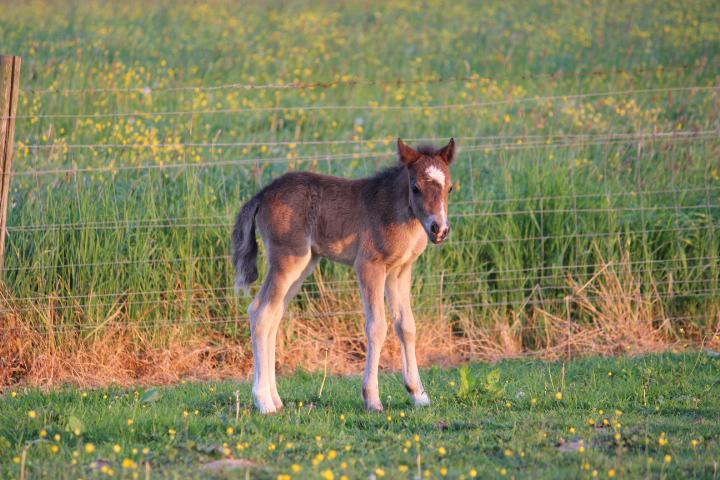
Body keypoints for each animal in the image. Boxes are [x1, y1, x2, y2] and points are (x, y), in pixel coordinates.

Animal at [232, 138, 456, 413]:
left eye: (450, 188)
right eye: (415, 187)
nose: (439, 229)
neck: (394, 210)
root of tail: (262, 194)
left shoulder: (399, 271)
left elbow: (407, 326)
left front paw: (418, 395)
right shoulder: (369, 265)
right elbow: (377, 327)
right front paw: (372, 398)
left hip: (304, 264)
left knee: (274, 315)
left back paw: (275, 399)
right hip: (287, 259)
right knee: (260, 312)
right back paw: (263, 401)